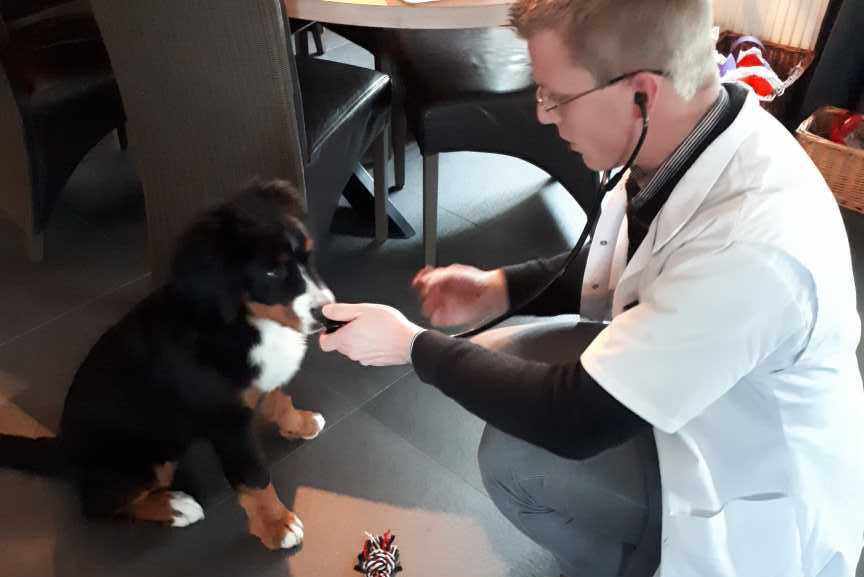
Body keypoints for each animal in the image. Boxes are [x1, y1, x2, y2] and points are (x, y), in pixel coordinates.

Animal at [0, 180, 334, 550]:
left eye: (309, 255)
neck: (244, 321)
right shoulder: (227, 422)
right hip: (146, 459)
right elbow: (254, 477)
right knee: (98, 503)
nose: (326, 313)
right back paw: (176, 506)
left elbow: (279, 399)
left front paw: (301, 422)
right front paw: (277, 525)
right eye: (271, 271)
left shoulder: (257, 385)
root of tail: (62, 447)